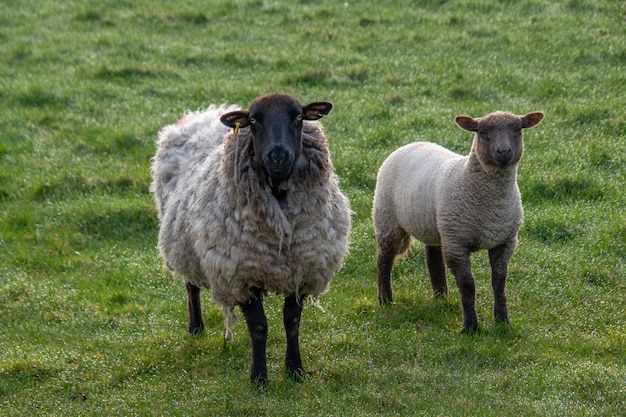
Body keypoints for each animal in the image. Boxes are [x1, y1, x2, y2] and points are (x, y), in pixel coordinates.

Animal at [149, 93, 348, 384]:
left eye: (299, 117)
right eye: (254, 121)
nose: (278, 155)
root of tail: (204, 114)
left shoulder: (301, 270)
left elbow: (292, 322)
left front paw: (295, 370)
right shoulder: (242, 274)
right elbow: (259, 326)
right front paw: (259, 377)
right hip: (183, 241)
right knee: (191, 285)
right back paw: (196, 327)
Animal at [370, 109, 540, 332]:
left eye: (517, 129)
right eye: (483, 132)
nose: (504, 152)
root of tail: (413, 143)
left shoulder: (504, 241)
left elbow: (499, 282)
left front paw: (502, 320)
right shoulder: (457, 244)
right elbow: (467, 286)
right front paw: (470, 327)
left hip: (435, 224)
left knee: (432, 256)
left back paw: (440, 295)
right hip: (387, 218)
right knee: (384, 259)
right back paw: (385, 299)